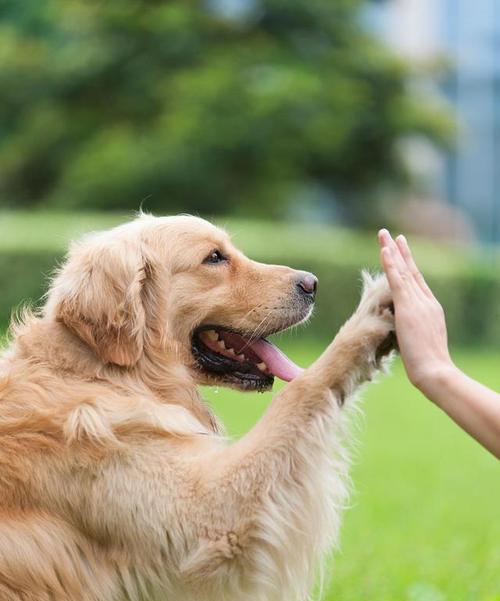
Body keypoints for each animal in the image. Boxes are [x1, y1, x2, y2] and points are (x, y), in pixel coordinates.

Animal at [0, 216, 394, 600]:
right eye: (215, 258)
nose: (312, 284)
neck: (101, 374)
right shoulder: (204, 519)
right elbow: (298, 391)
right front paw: (373, 315)